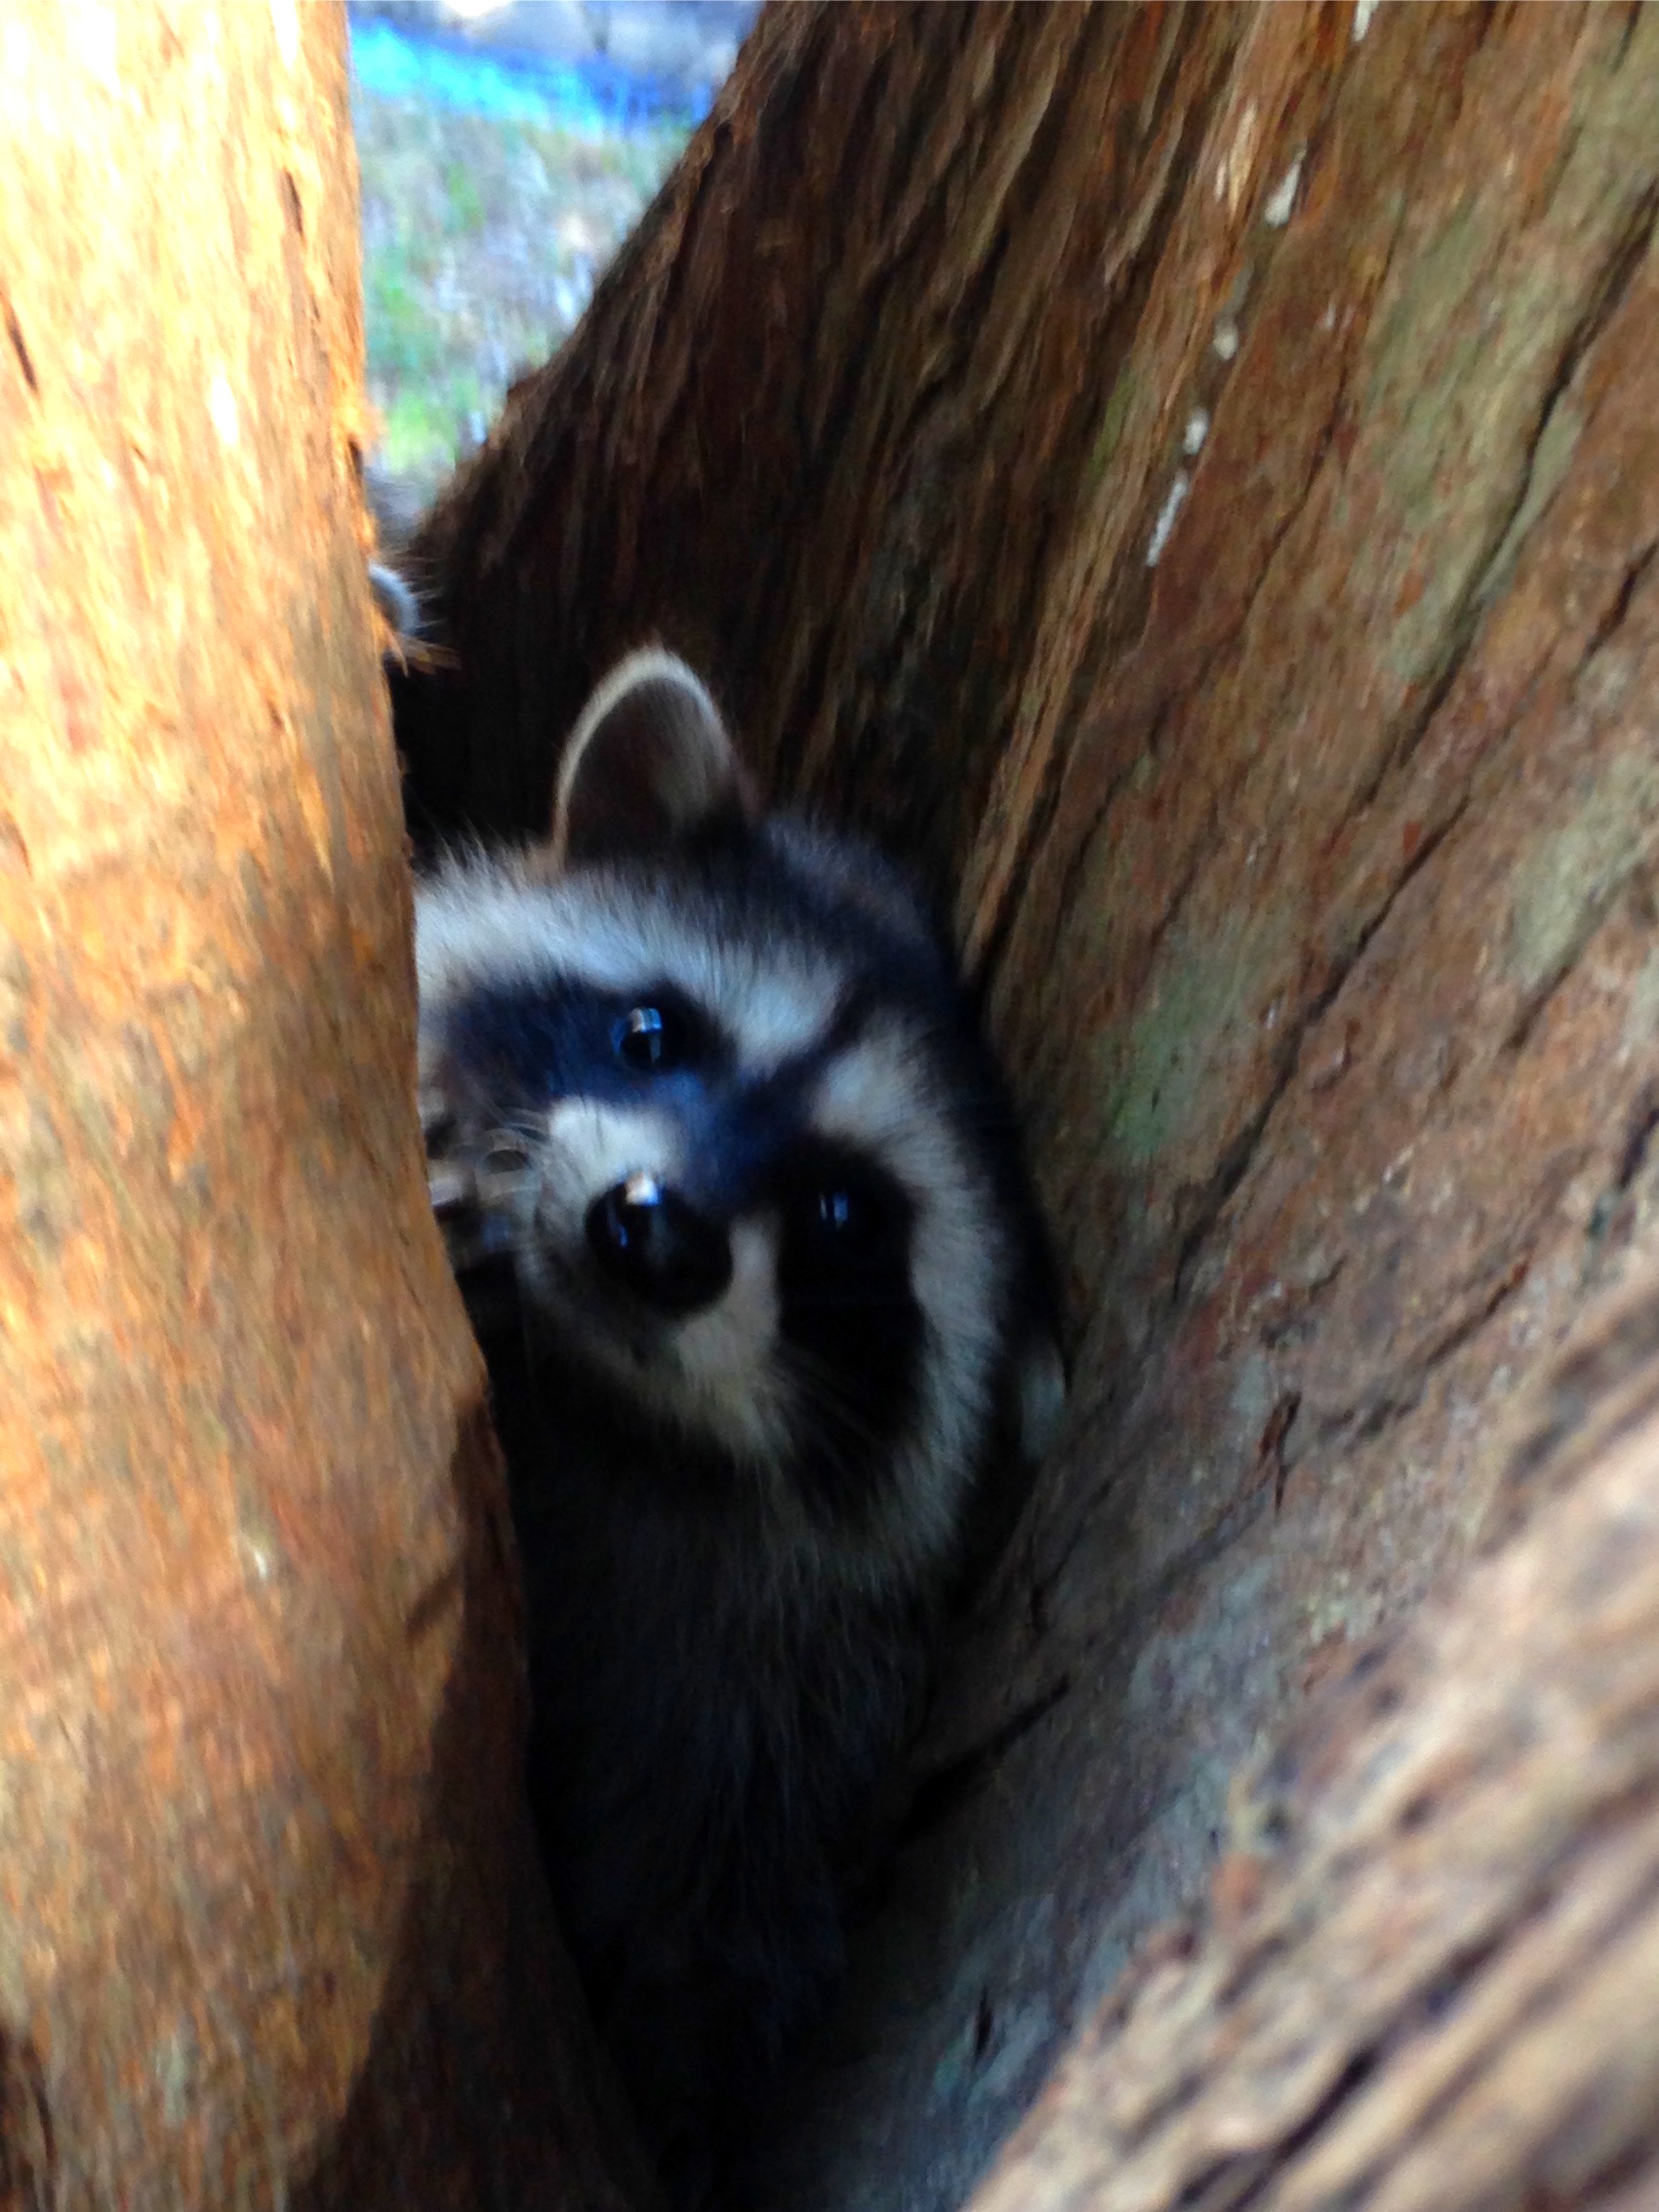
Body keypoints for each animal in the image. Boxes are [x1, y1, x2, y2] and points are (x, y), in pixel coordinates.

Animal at [414, 651, 1060, 2201]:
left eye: (840, 1218)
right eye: (649, 1032)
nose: (652, 1229)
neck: (600, 1416)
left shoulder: (772, 1690)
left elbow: (719, 1905)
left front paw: (682, 2065)